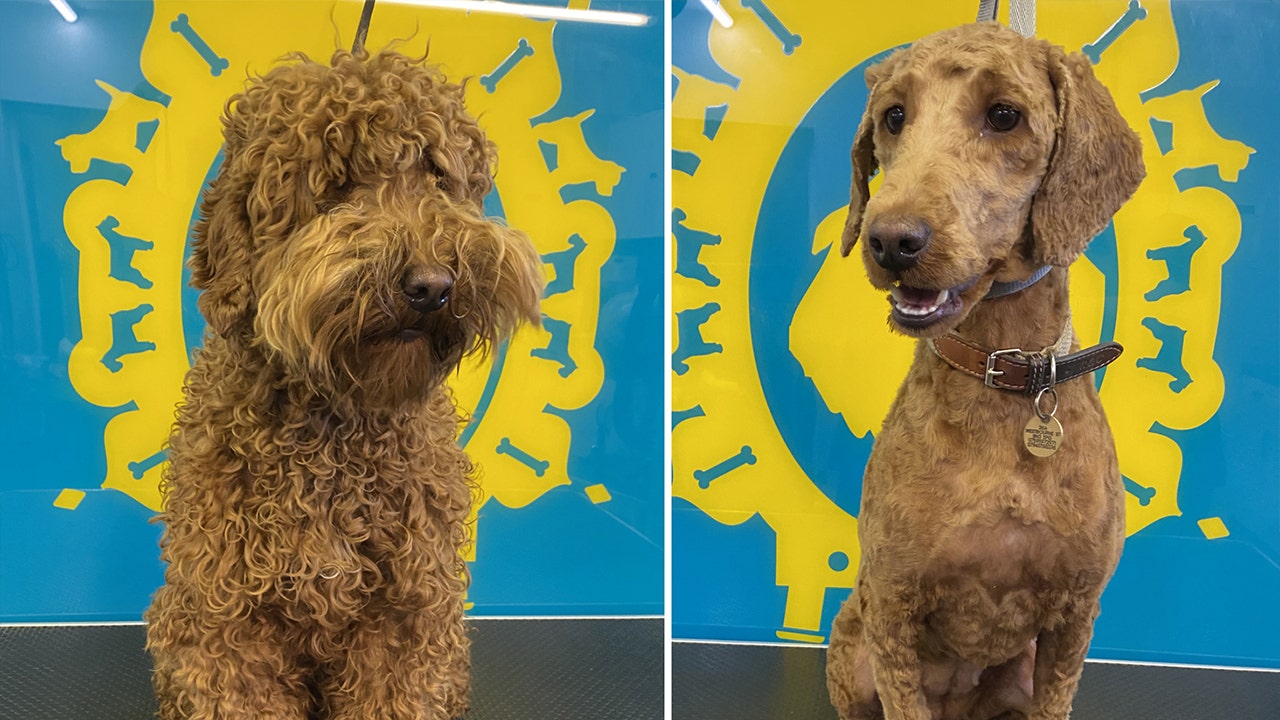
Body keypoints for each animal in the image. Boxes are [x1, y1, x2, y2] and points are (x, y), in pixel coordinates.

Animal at [145, 50, 545, 717]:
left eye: (437, 176)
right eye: (337, 186)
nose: (431, 285)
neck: (338, 424)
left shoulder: (407, 615)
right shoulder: (229, 624)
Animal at [824, 22, 1146, 717]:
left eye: (1004, 116)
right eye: (894, 116)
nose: (890, 241)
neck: (1001, 370)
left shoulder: (1075, 617)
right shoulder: (892, 605)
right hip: (853, 649)